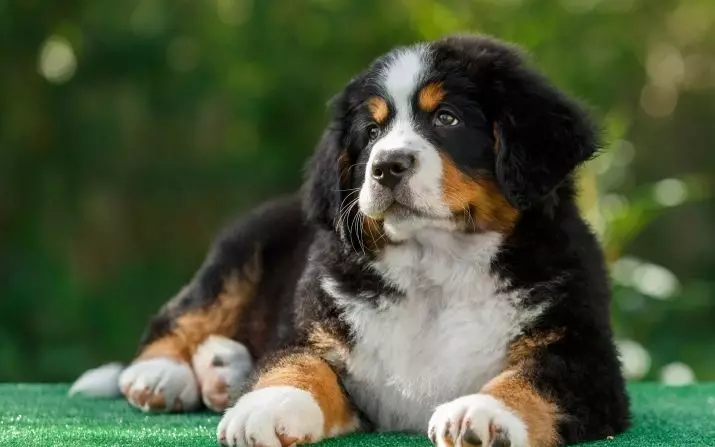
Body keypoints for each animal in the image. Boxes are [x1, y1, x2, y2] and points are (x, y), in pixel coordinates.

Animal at [74, 36, 632, 447]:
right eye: (371, 131)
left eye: (446, 118)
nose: (386, 166)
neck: (438, 267)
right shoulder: (320, 332)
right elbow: (298, 364)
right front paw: (265, 407)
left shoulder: (584, 357)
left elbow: (533, 378)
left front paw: (483, 413)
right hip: (239, 252)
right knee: (180, 316)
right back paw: (163, 376)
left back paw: (222, 371)